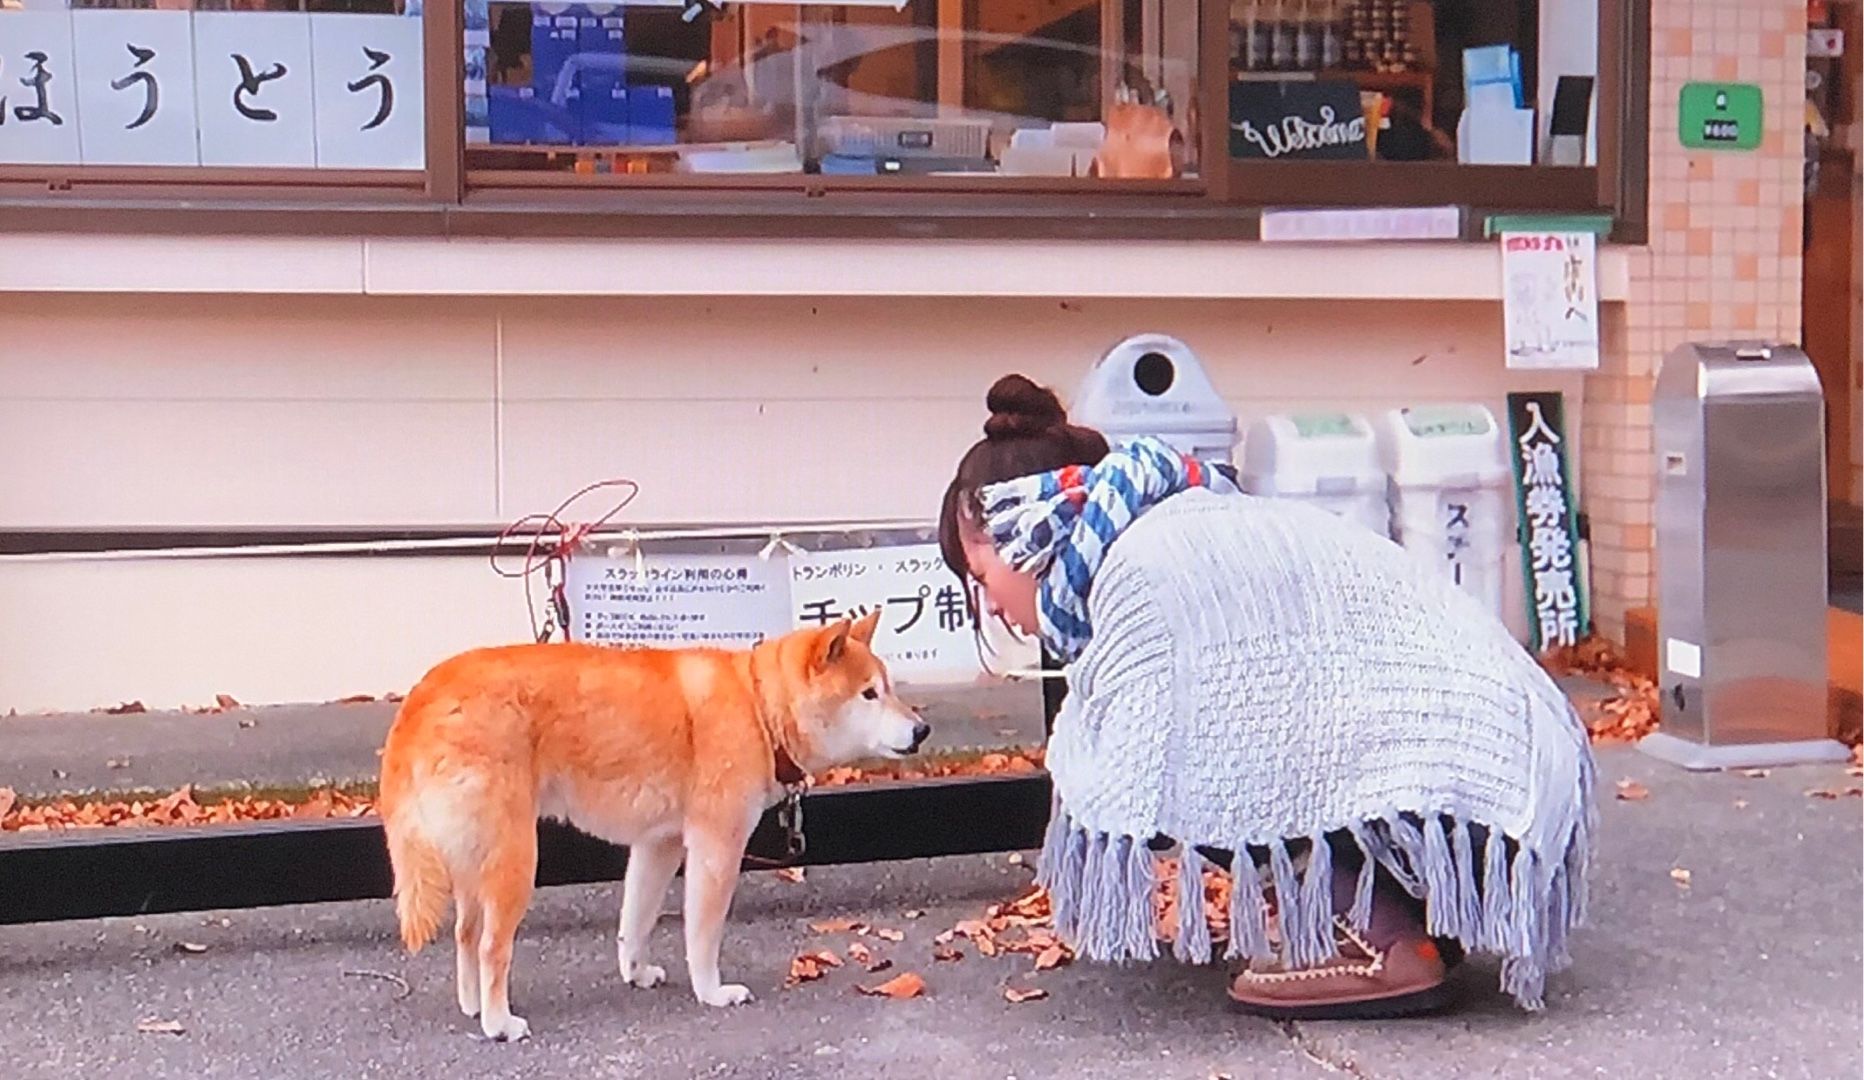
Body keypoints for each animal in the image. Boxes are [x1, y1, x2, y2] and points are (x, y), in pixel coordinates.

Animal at [378, 608, 932, 1037]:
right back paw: (498, 1022)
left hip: (476, 856)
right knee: (493, 946)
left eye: (889, 689)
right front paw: (711, 992)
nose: (923, 729)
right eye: (868, 694)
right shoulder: (716, 846)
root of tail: (421, 696)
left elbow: (636, 921)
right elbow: (703, 934)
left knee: (466, 935)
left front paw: (636, 972)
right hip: (514, 856)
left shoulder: (658, 845)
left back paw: (472, 1006)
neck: (759, 707)